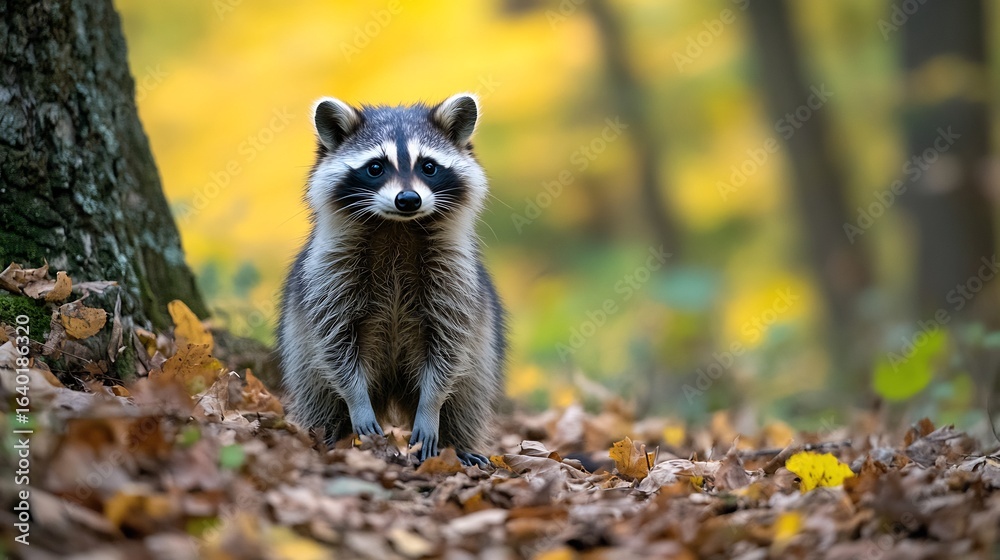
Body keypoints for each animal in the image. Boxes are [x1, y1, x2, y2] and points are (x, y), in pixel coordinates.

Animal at [278, 93, 506, 466]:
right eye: (375, 167)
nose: (408, 200)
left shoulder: (454, 275)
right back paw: (327, 437)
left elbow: (450, 345)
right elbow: (333, 340)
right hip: (300, 351)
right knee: (317, 394)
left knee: (468, 396)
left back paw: (458, 445)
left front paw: (430, 409)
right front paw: (356, 401)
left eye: (428, 166)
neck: (397, 226)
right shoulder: (328, 271)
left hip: (482, 349)